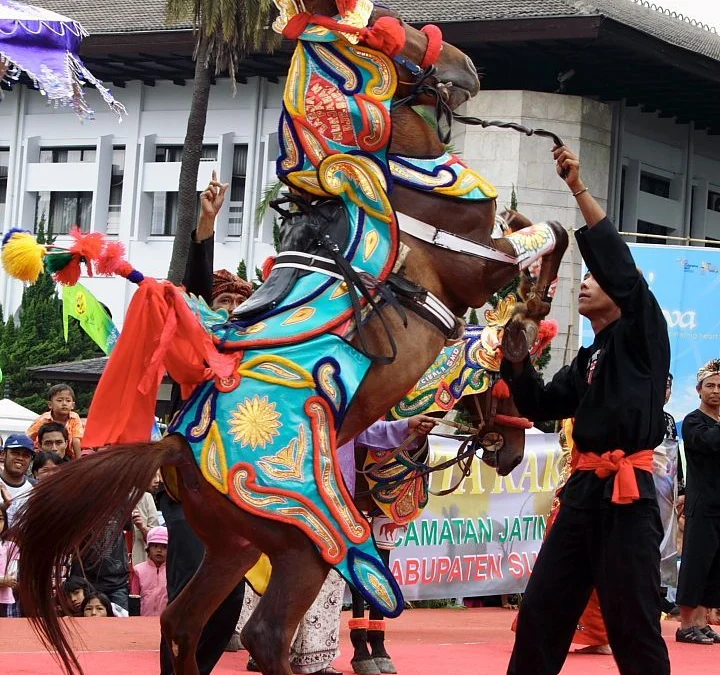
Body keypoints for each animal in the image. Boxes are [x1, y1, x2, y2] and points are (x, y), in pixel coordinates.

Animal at [8, 2, 564, 672]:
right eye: (387, 28)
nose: (467, 67)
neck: (387, 181)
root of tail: (174, 447)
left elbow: (540, 228)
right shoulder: (473, 264)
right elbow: (550, 235)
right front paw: (529, 311)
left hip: (235, 545)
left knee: (181, 621)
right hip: (306, 541)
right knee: (266, 633)